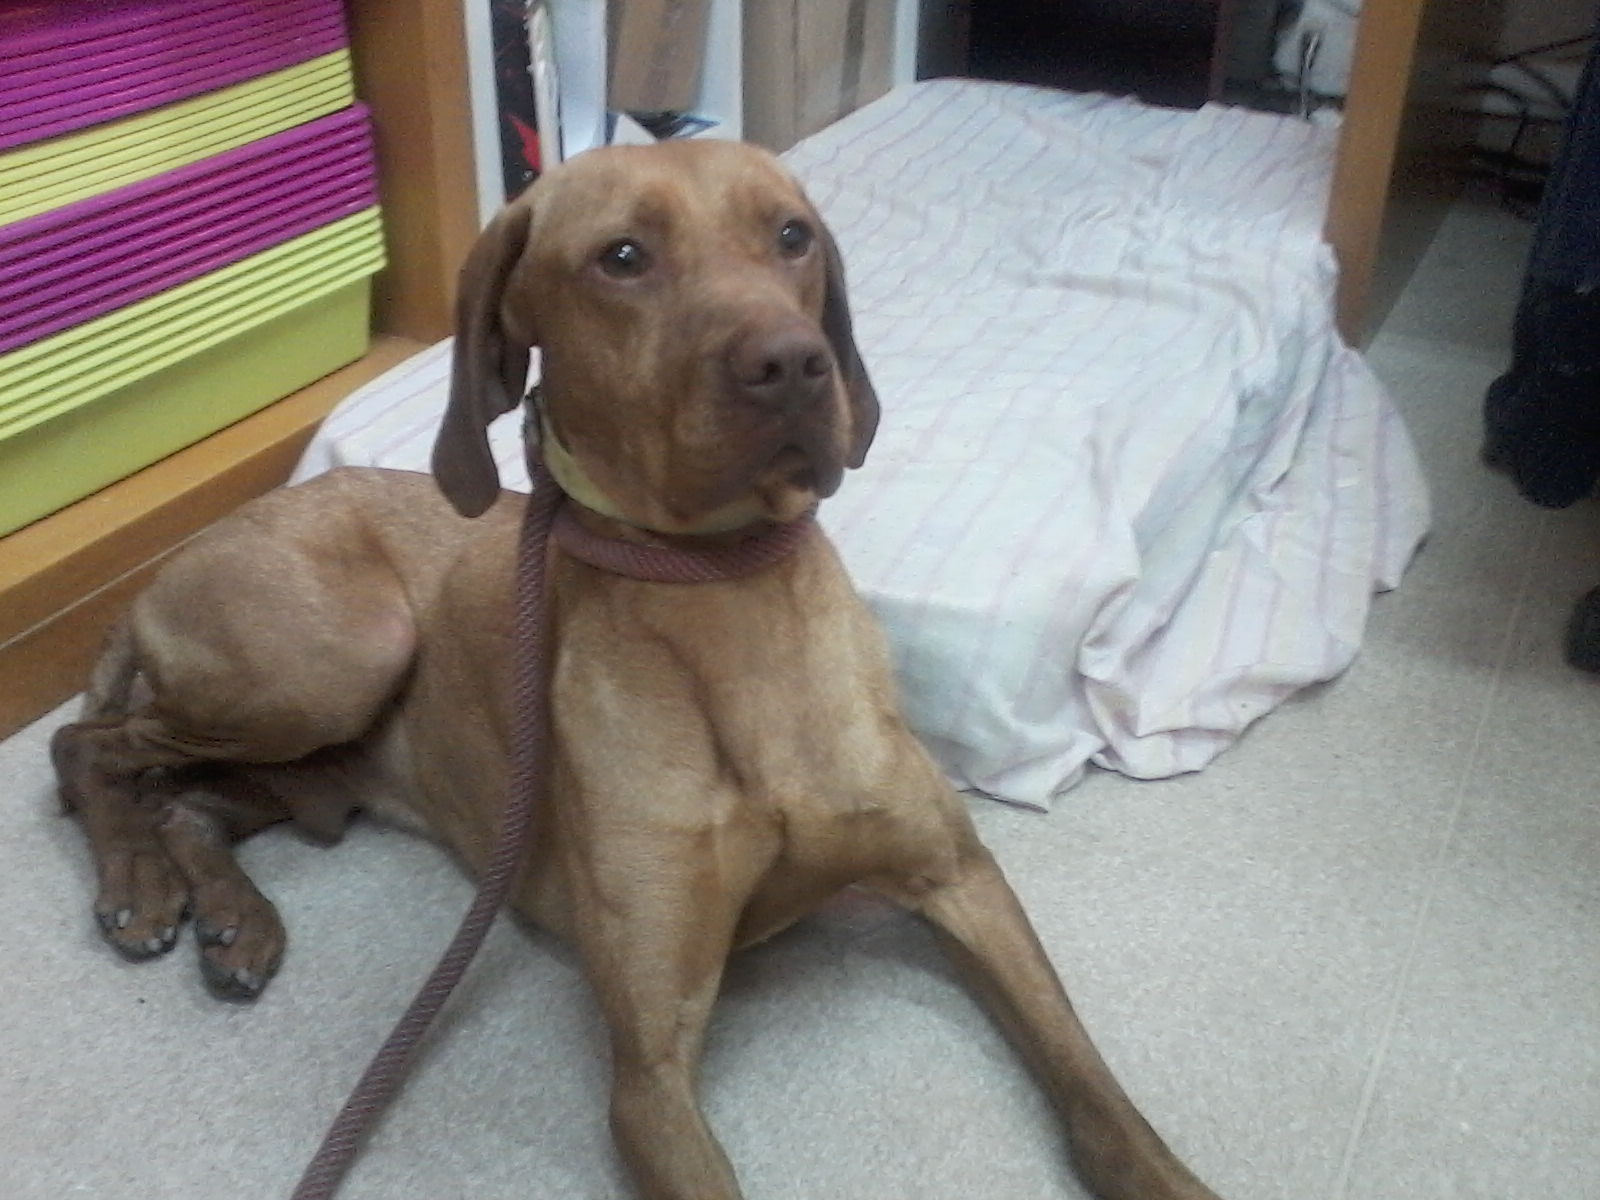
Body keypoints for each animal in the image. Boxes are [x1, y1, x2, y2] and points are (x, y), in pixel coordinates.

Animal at [51, 139, 1224, 1200]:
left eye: (791, 236)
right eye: (621, 256)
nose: (795, 364)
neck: (725, 595)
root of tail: (171, 564)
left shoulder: (961, 880)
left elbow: (1097, 1095)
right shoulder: (651, 1070)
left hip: (320, 750)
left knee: (187, 795)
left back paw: (231, 916)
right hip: (340, 653)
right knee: (87, 744)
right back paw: (138, 885)